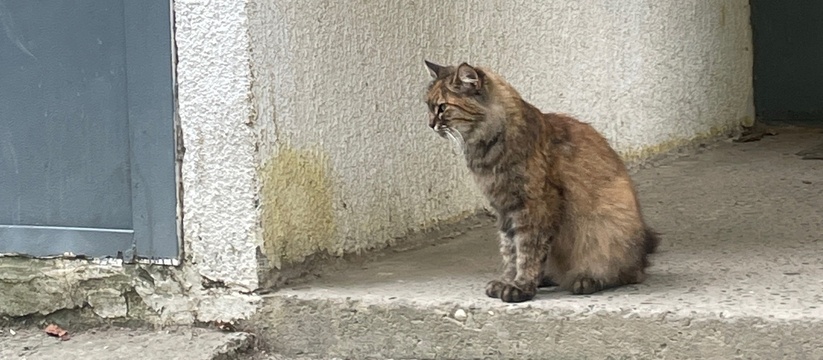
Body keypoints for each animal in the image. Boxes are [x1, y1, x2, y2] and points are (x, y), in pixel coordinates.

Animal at [424, 60, 664, 302]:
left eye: (442, 108)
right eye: (428, 106)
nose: (430, 124)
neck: (487, 149)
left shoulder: (534, 206)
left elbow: (527, 251)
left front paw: (520, 286)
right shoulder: (504, 209)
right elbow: (510, 251)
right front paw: (508, 280)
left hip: (609, 227)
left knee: (627, 273)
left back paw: (587, 280)